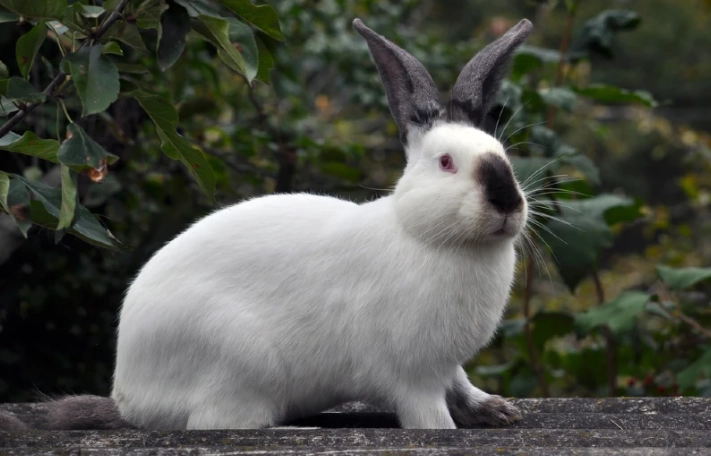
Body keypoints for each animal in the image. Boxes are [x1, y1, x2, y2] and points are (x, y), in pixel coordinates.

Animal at [0, 17, 532, 431]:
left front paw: (498, 412)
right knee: (214, 423)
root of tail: (130, 398)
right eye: (446, 163)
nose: (507, 202)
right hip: (240, 360)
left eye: (503, 155)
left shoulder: (447, 366)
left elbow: (462, 386)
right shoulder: (414, 376)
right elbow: (430, 417)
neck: (426, 234)